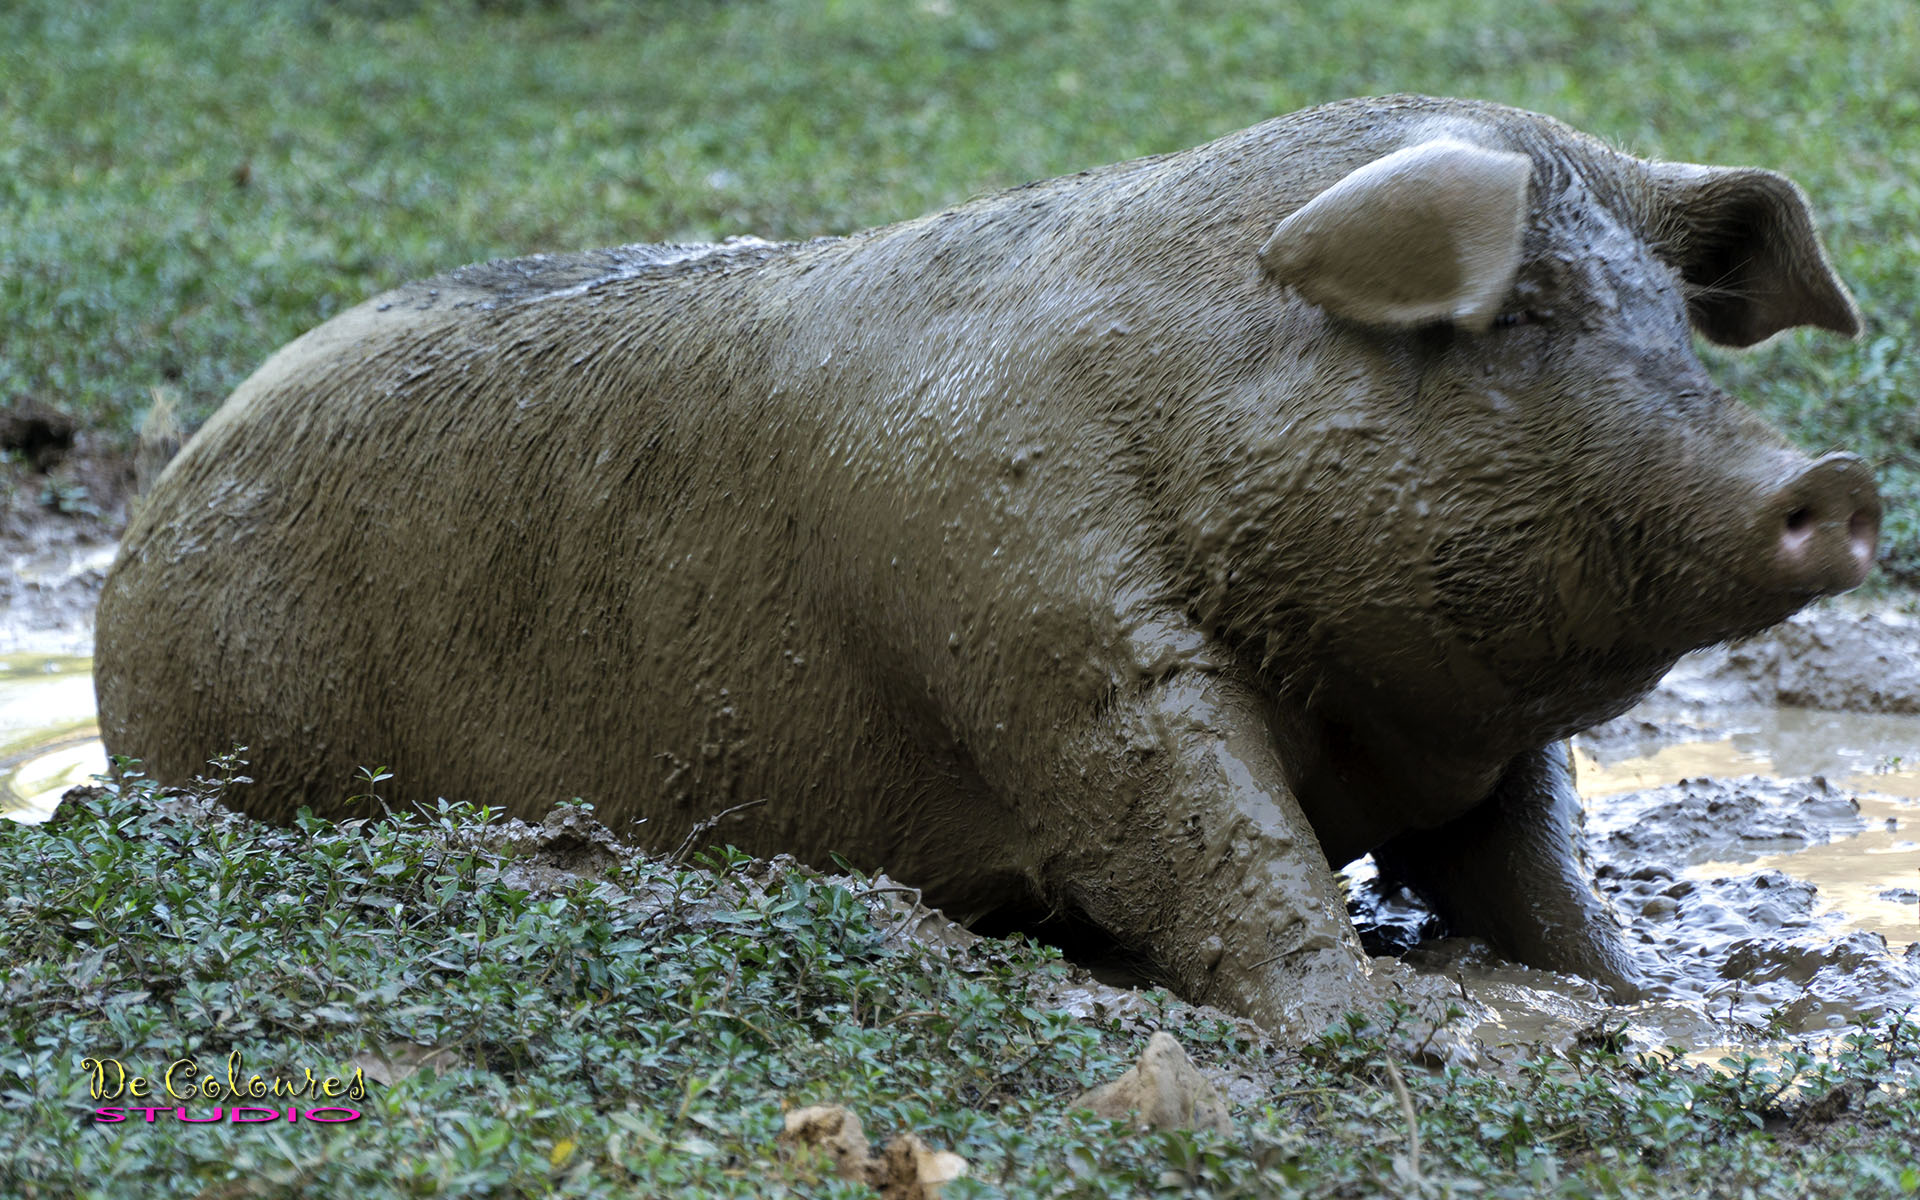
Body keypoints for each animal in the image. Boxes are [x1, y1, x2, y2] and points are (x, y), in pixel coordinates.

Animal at [93, 93, 1873, 1036]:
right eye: (1517, 315)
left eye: (1669, 319)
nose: (1836, 480)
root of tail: (142, 532)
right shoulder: (1033, 624)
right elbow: (1210, 831)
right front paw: (1368, 1028)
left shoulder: (1475, 748)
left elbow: (1533, 863)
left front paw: (1637, 1005)